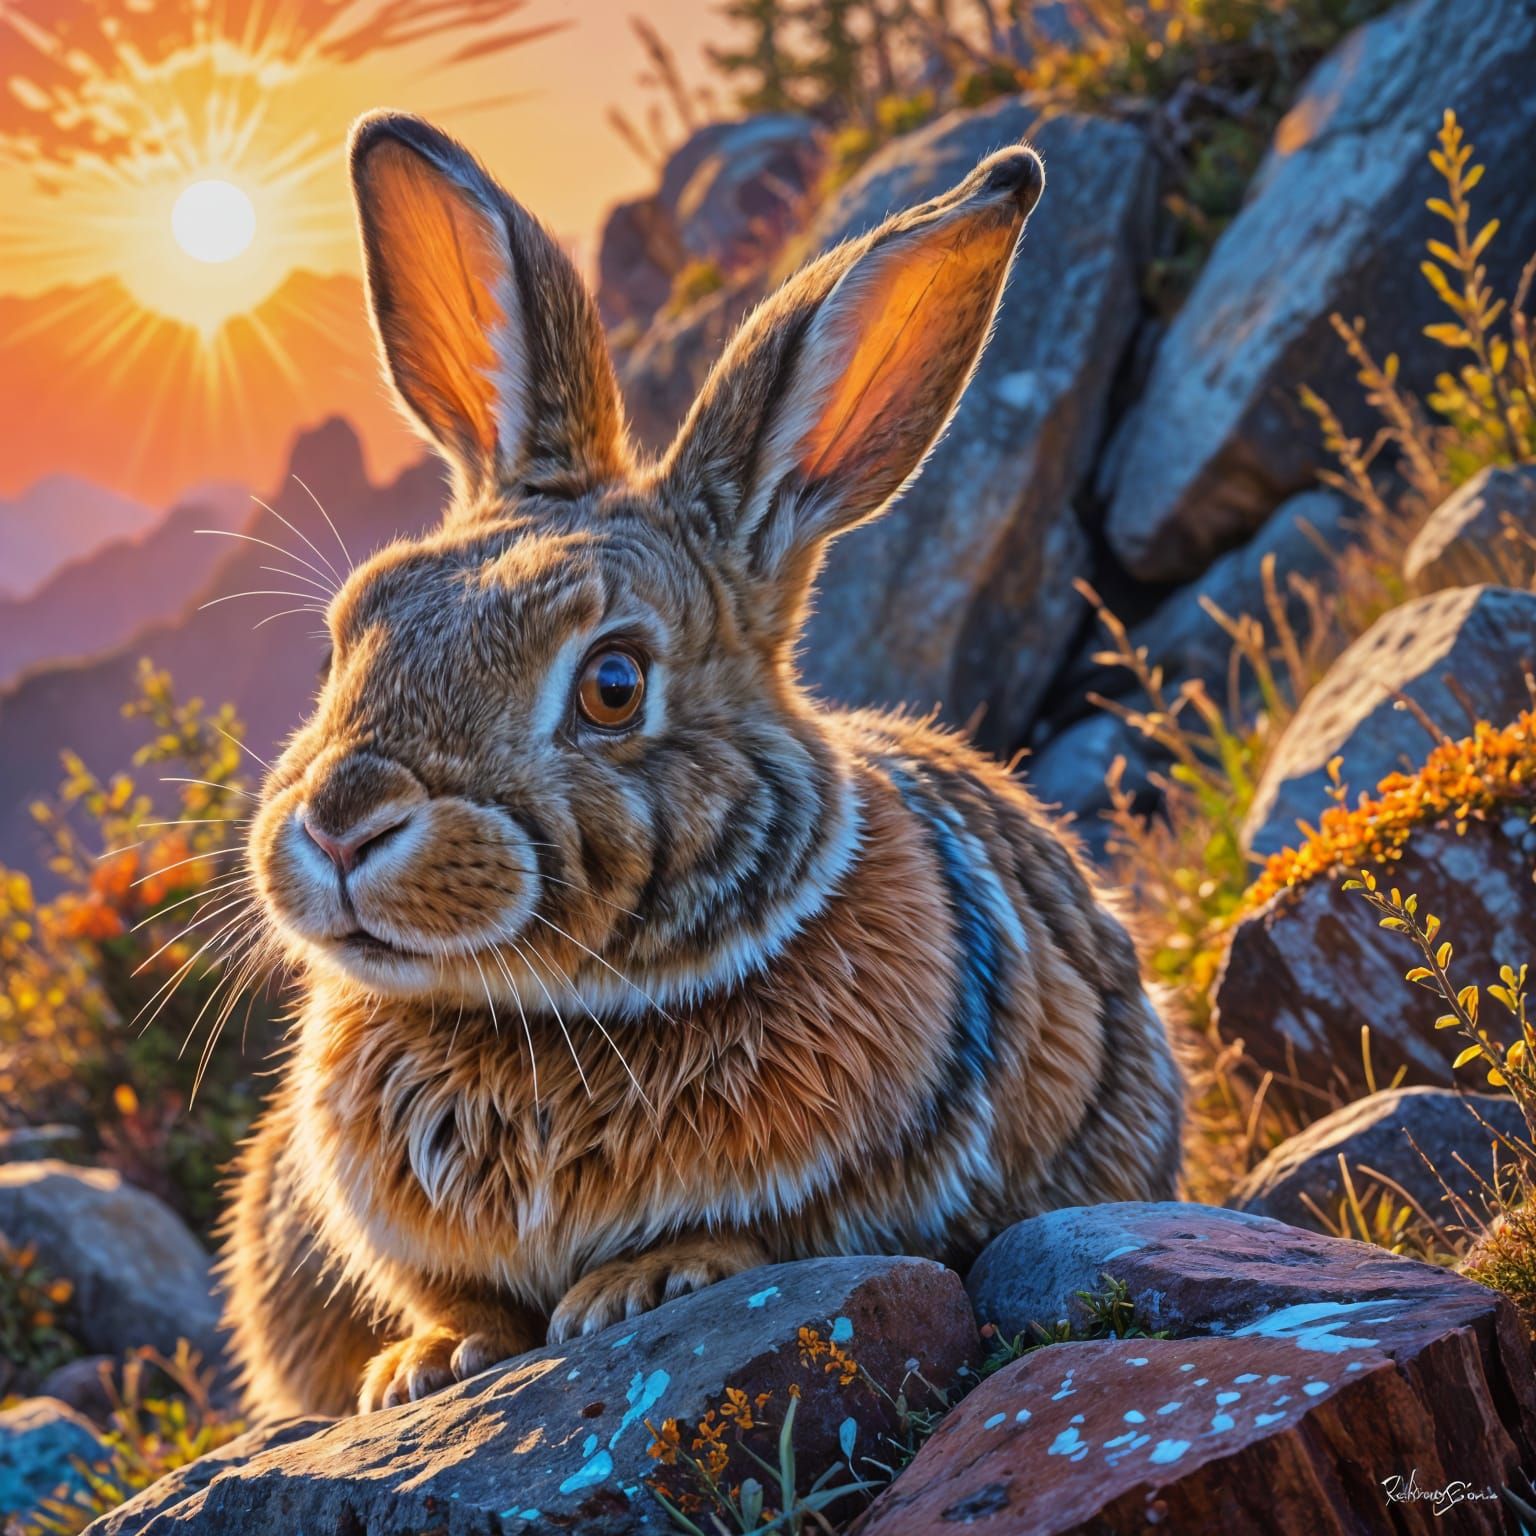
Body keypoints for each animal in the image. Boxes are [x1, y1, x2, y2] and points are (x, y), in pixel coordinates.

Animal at [221, 109, 1184, 1419]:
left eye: (613, 684)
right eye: (354, 624)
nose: (340, 819)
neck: (541, 1012)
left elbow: (754, 1239)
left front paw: (640, 1287)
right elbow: (451, 1300)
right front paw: (426, 1363)